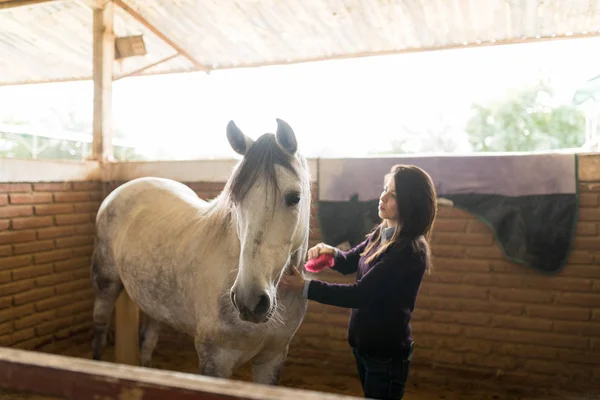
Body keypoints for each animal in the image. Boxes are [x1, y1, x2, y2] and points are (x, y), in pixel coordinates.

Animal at [92, 119, 314, 384]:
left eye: (294, 198)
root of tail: (118, 191)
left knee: (147, 342)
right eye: (235, 200)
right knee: (99, 334)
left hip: (154, 304)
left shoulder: (271, 359)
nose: (248, 300)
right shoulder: (216, 360)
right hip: (106, 285)